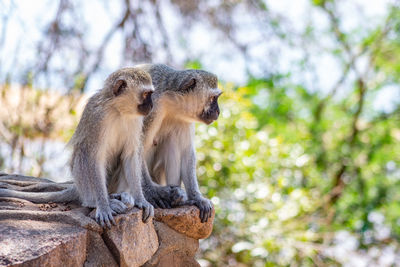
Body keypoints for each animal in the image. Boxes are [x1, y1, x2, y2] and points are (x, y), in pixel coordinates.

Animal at [0, 67, 155, 228]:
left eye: (150, 94)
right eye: (146, 94)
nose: (151, 105)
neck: (118, 110)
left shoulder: (136, 120)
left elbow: (130, 156)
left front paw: (141, 201)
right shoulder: (97, 117)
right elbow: (94, 158)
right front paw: (103, 205)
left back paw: (122, 195)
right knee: (83, 154)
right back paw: (95, 201)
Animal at [112, 65, 223, 224]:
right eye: (213, 98)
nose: (218, 112)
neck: (171, 100)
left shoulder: (184, 118)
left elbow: (187, 152)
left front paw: (197, 198)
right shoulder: (150, 106)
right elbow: (137, 148)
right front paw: (153, 192)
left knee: (173, 141)